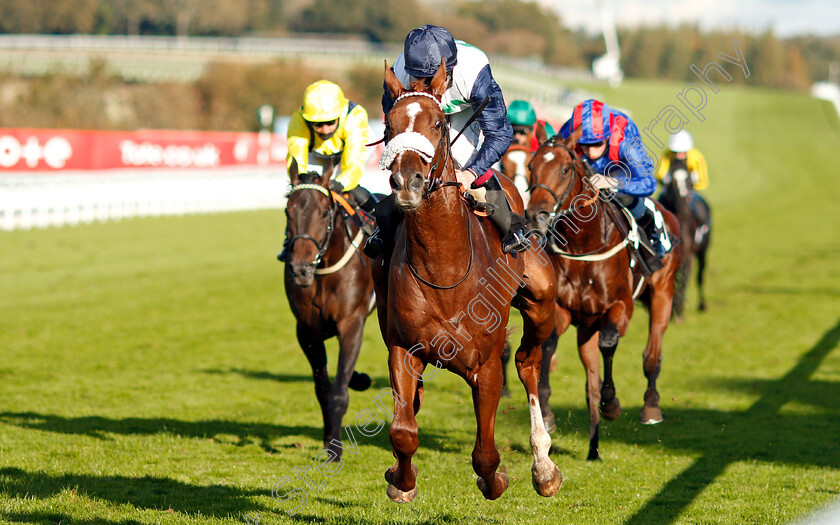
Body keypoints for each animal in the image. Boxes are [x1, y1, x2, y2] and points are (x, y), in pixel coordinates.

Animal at [282, 159, 374, 458]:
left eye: (324, 213)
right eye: (288, 211)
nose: (300, 268)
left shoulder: (352, 323)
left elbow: (338, 392)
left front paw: (335, 450)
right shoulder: (307, 331)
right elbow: (323, 388)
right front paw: (327, 439)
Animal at [370, 59, 560, 502]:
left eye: (439, 123)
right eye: (388, 125)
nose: (407, 181)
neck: (445, 268)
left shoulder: (485, 364)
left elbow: (486, 455)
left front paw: (498, 479)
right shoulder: (403, 348)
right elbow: (403, 430)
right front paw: (400, 480)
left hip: (541, 300)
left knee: (527, 363)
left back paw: (544, 465)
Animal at [524, 133, 684, 460]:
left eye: (564, 169)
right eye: (531, 166)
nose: (536, 215)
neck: (583, 245)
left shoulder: (621, 306)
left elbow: (609, 344)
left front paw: (612, 404)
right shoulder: (564, 311)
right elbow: (549, 345)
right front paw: (547, 412)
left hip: (662, 293)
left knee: (652, 354)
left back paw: (650, 406)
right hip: (586, 328)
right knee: (590, 382)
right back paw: (593, 448)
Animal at [656, 155, 708, 320]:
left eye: (688, 180)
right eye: (671, 180)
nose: (682, 202)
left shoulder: (687, 252)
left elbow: (684, 277)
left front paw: (678, 310)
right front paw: (673, 308)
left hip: (703, 251)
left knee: (700, 276)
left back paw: (702, 305)